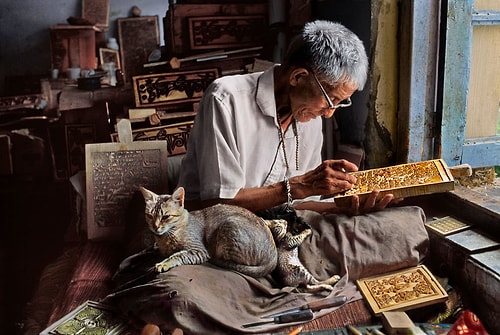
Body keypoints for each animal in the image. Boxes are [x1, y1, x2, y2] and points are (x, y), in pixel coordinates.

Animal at [140, 186, 278, 278]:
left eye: (165, 217)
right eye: (150, 216)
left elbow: (178, 255)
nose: (155, 227)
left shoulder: (198, 250)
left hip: (229, 227)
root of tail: (273, 256)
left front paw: (163, 263)